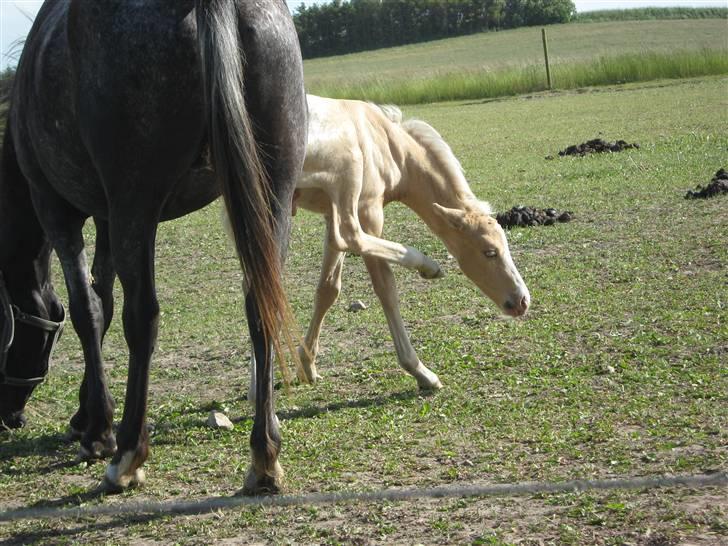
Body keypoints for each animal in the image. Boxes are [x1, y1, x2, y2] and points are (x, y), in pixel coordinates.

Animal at [0, 0, 306, 492]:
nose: (9, 415)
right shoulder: (105, 219)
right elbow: (102, 303)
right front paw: (86, 415)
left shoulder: (59, 211)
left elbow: (88, 311)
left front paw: (98, 429)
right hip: (272, 195)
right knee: (261, 305)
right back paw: (264, 455)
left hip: (136, 206)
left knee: (143, 316)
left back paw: (127, 455)